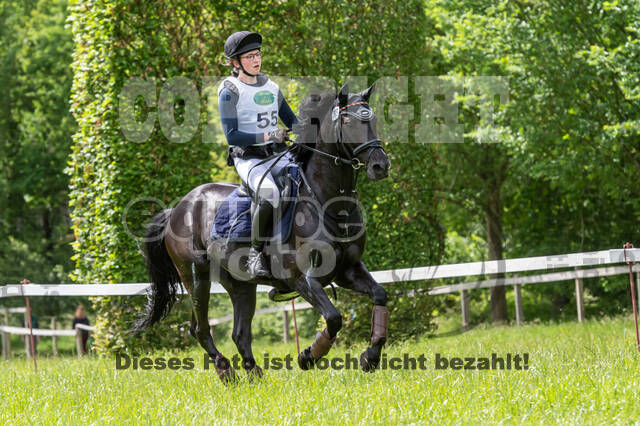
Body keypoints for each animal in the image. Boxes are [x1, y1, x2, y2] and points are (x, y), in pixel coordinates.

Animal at [134, 82, 391, 382]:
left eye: (374, 119)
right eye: (348, 122)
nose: (380, 166)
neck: (329, 202)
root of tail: (177, 208)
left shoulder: (347, 271)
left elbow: (379, 296)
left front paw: (370, 358)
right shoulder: (302, 280)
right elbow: (333, 318)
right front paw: (307, 357)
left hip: (240, 284)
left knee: (239, 333)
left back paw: (255, 375)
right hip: (196, 277)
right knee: (200, 329)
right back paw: (227, 373)